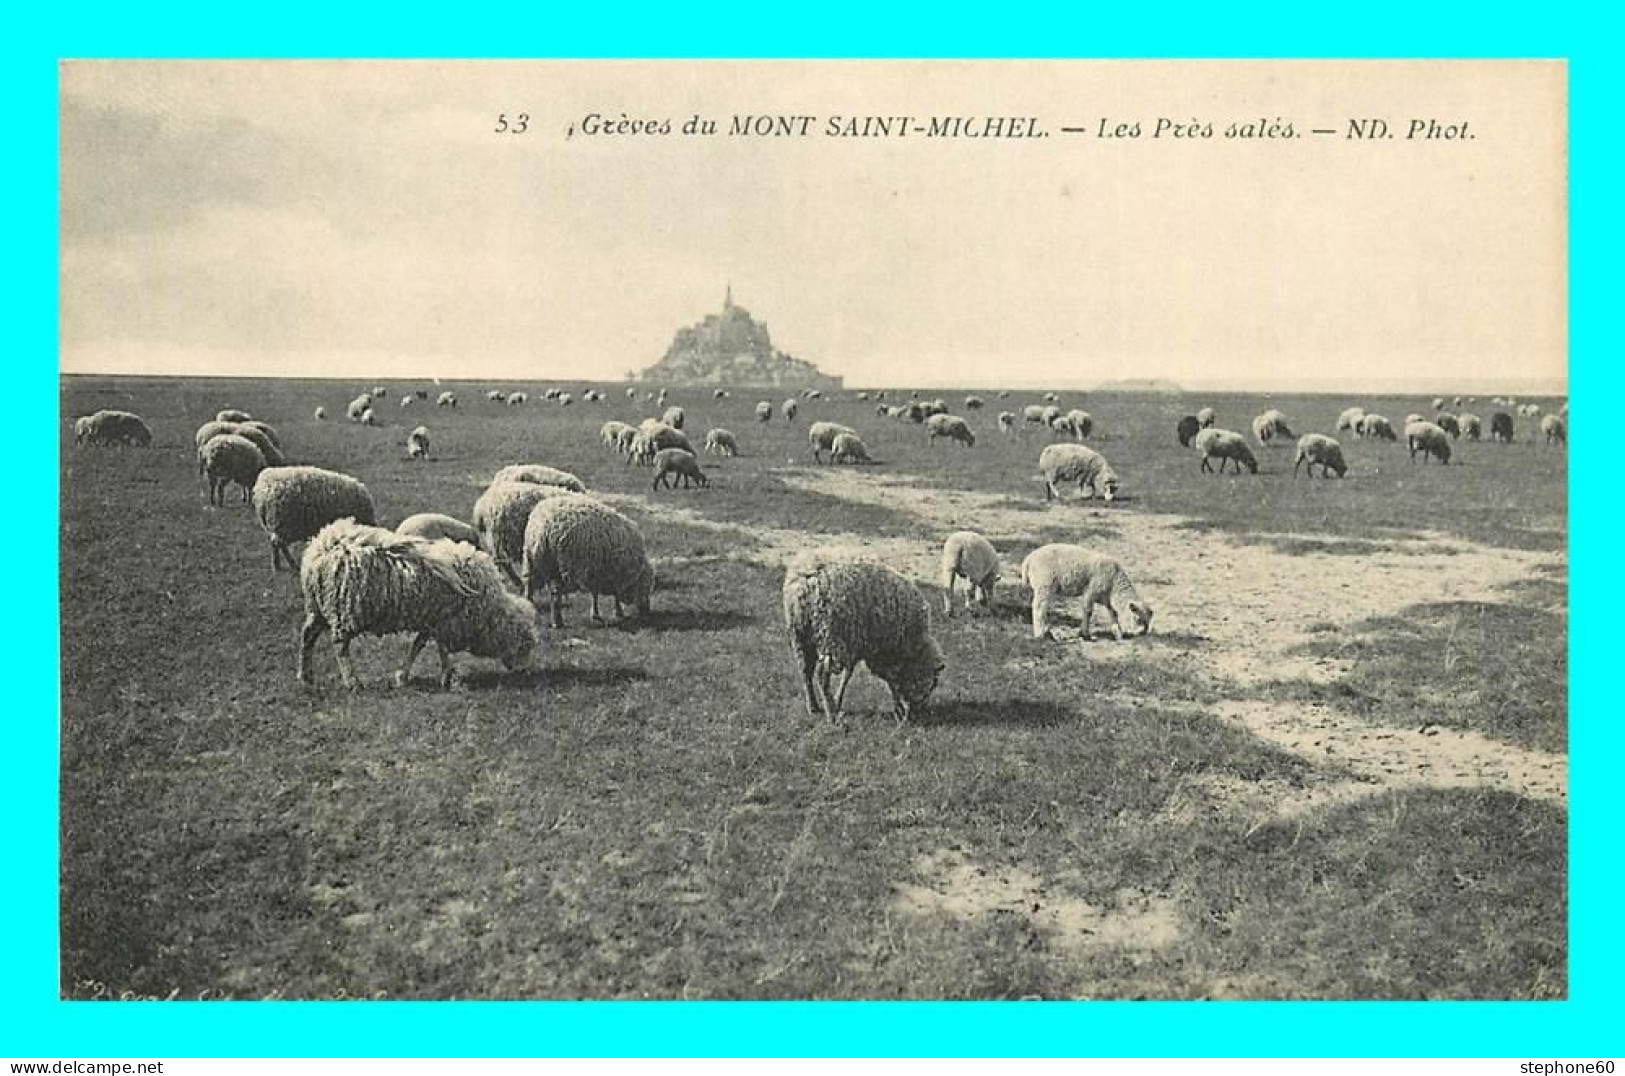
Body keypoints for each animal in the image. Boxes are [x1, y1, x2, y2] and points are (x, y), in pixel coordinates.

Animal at [299, 520, 539, 692]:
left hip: (318, 606)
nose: (525, 672)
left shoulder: (432, 621)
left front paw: (403, 676)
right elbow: (441, 649)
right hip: (343, 610)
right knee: (340, 647)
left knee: (307, 635)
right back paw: (353, 682)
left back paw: (306, 677)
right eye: (524, 645)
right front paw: (448, 677)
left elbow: (418, 646)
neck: (488, 610)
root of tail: (323, 545)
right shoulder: (446, 622)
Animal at [516, 490, 650, 627]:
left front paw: (596, 614)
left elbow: (595, 593)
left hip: (532, 558)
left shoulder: (596, 571)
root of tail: (544, 528)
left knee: (530, 584)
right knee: (555, 593)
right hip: (561, 563)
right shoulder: (611, 572)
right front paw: (617, 613)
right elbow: (613, 595)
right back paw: (558, 622)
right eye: (646, 588)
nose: (646, 612)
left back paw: (529, 606)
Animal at [783, 555, 949, 724]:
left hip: (800, 636)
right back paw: (831, 715)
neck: (912, 642)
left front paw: (838, 700)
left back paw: (813, 706)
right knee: (822, 676)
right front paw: (899, 709)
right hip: (829, 635)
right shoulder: (883, 648)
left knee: (805, 671)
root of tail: (805, 583)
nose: (919, 713)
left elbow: (848, 674)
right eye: (931, 685)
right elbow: (891, 680)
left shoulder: (858, 646)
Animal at [1020, 549, 1150, 640]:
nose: (1143, 632)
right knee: (1039, 608)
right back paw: (1040, 635)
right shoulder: (1090, 591)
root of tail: (1028, 560)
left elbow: (1113, 615)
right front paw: (1085, 634)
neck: (1115, 584)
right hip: (1044, 585)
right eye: (1137, 618)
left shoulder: (1107, 600)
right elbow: (1088, 612)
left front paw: (1118, 635)